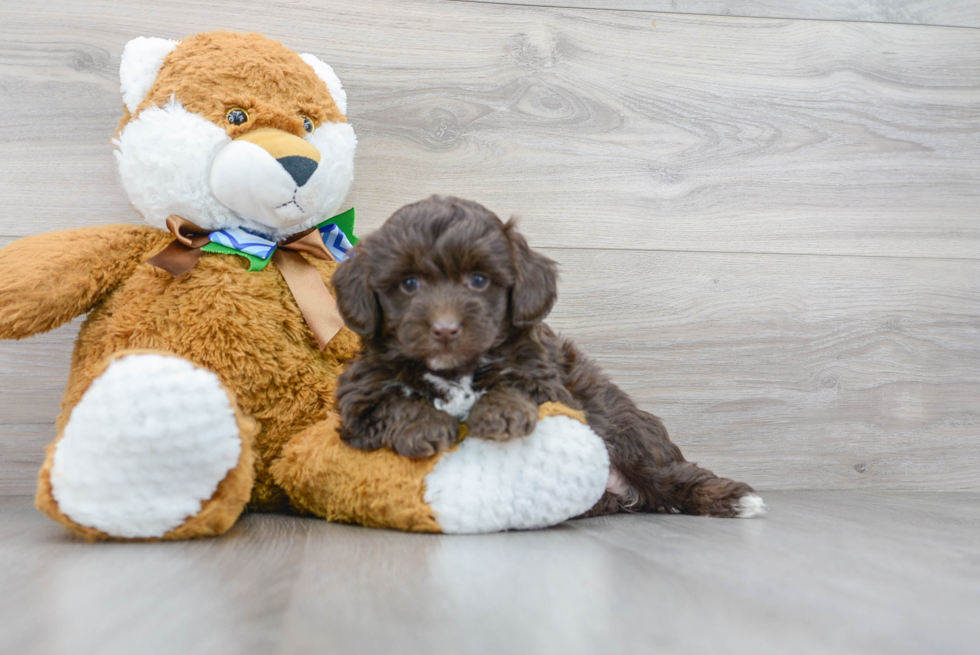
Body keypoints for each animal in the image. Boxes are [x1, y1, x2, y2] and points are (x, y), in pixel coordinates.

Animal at [334, 195, 760, 516]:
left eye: (478, 281)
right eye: (409, 284)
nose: (445, 329)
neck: (456, 370)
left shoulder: (549, 382)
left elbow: (515, 386)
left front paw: (501, 413)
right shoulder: (360, 397)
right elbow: (393, 403)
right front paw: (424, 427)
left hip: (629, 433)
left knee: (668, 473)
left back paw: (734, 499)